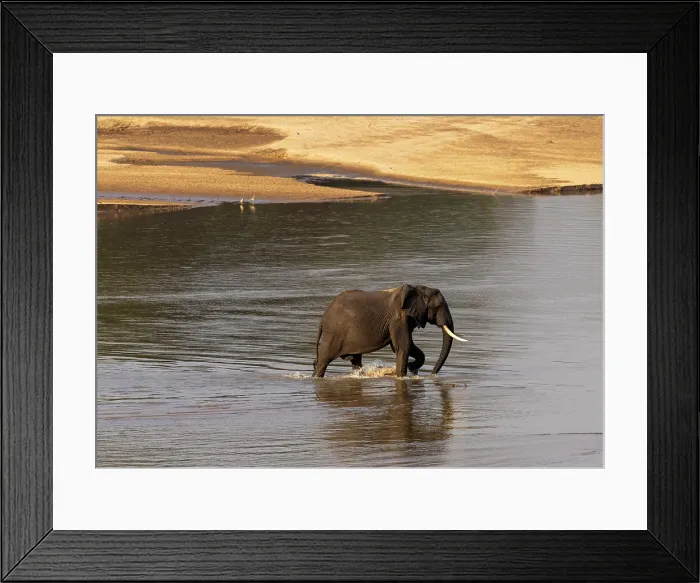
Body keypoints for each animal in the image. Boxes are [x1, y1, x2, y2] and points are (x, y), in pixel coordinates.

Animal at [312, 284, 467, 378]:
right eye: (439, 307)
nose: (432, 374)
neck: (417, 288)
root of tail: (323, 319)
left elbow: (408, 346)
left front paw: (412, 368)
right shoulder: (398, 319)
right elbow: (403, 346)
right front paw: (404, 373)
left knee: (355, 360)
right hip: (334, 333)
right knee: (323, 361)